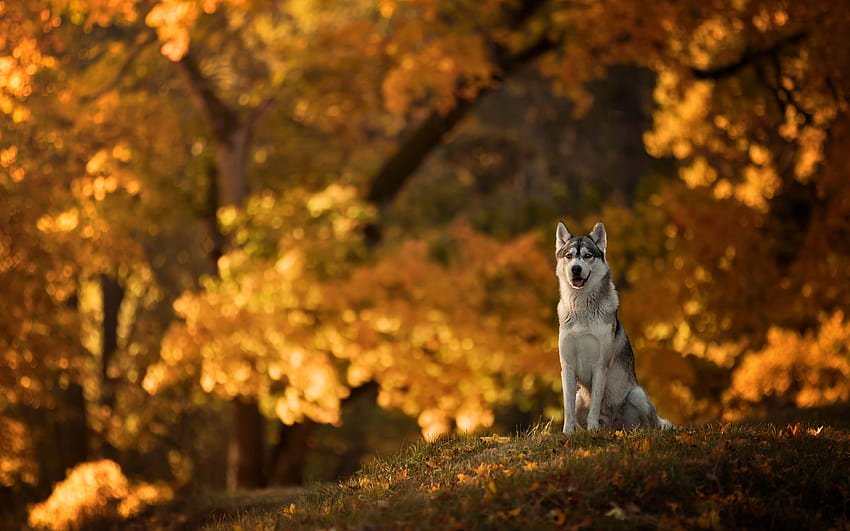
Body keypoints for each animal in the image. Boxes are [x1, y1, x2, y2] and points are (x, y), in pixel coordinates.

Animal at [556, 222, 668, 434]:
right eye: (569, 256)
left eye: (587, 255)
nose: (576, 269)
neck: (582, 309)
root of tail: (615, 427)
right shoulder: (567, 367)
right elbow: (567, 408)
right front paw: (568, 433)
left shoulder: (600, 365)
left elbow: (595, 405)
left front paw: (592, 430)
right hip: (580, 397)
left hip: (637, 395)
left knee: (648, 426)